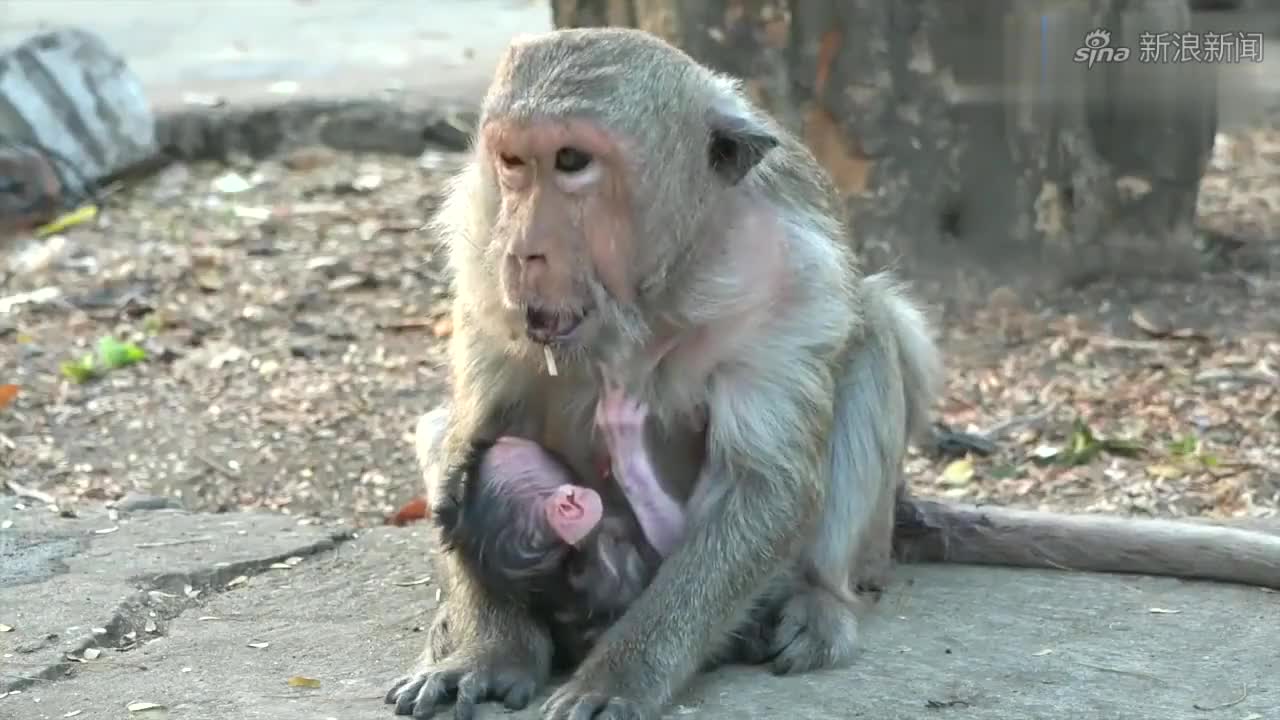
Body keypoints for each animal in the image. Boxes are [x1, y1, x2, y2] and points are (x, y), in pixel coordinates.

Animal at [386, 23, 1280, 717]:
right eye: (513, 163)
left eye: (572, 160)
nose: (525, 250)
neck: (656, 280)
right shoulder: (475, 236)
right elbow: (476, 425)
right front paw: (487, 646)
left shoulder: (790, 268)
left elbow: (767, 481)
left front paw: (624, 673)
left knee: (871, 335)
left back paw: (819, 598)